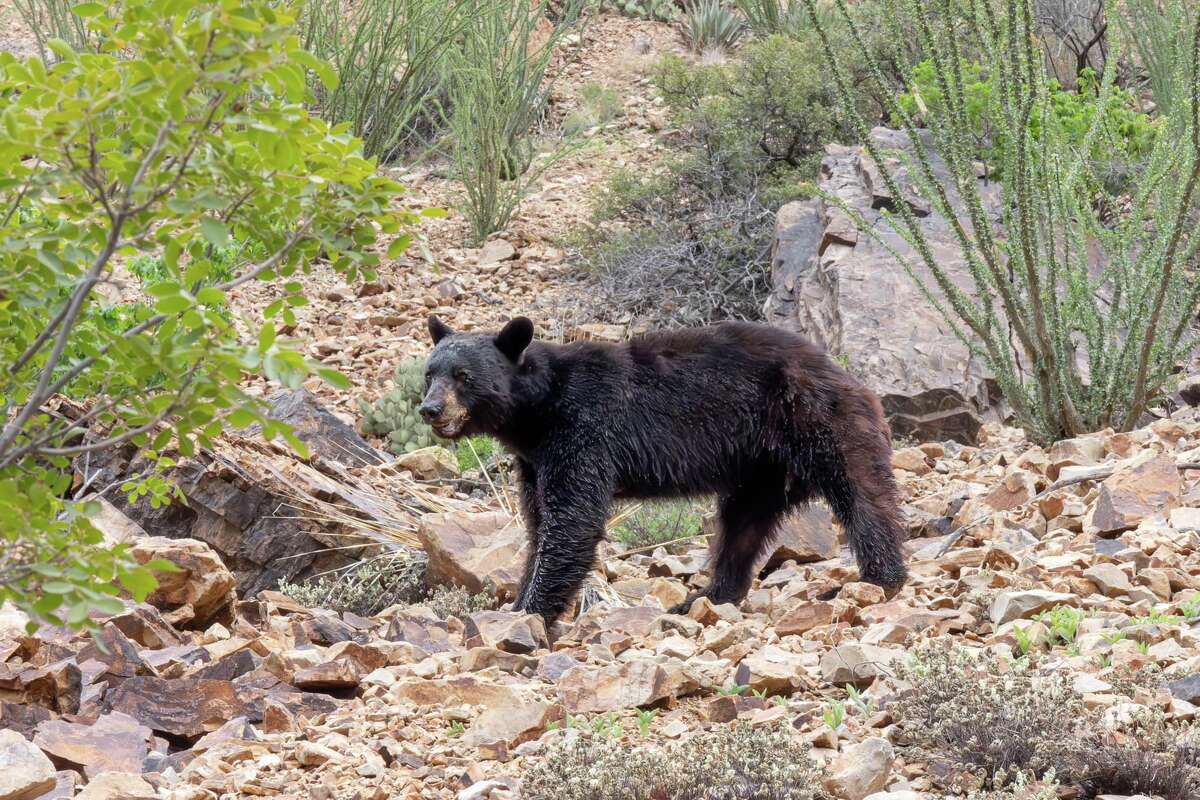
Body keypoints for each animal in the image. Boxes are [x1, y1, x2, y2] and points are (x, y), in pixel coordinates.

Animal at [417, 316, 902, 623]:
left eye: (464, 376)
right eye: (429, 373)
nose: (429, 409)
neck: (538, 410)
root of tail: (842, 372)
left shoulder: (582, 433)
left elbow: (572, 520)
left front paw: (529, 610)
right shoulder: (534, 460)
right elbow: (539, 524)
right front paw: (521, 601)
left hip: (818, 421)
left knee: (861, 493)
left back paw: (878, 578)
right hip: (762, 465)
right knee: (742, 522)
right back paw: (707, 596)